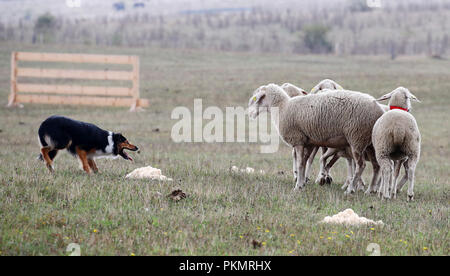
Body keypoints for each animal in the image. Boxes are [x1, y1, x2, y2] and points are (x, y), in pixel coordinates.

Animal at [250, 84, 384, 192]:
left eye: (256, 98)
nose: (250, 114)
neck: (282, 107)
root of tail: (380, 110)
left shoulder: (298, 140)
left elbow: (300, 164)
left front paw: (297, 187)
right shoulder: (308, 142)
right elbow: (304, 163)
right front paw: (302, 184)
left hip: (357, 138)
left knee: (361, 165)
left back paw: (351, 189)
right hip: (369, 143)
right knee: (376, 166)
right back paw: (370, 190)